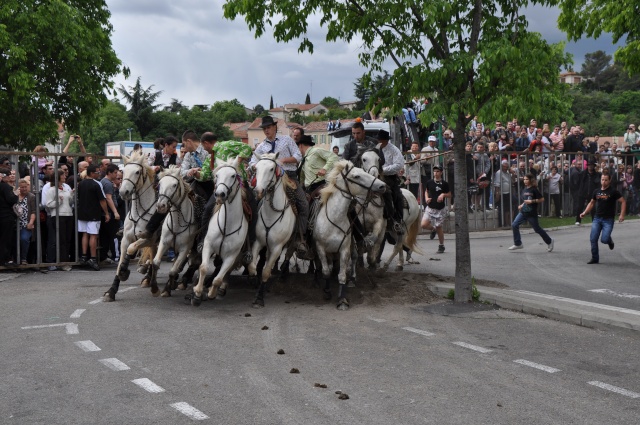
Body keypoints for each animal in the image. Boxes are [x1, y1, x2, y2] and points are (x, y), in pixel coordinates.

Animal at [104, 151, 158, 300]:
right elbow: (123, 257)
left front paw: (124, 271)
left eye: (137, 171)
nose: (123, 192)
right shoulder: (125, 239)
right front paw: (111, 290)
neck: (138, 214)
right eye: (123, 171)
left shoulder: (148, 239)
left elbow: (131, 249)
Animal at [150, 164, 200, 296]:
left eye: (174, 185)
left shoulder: (185, 248)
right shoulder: (164, 243)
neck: (178, 223)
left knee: (195, 263)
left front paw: (168, 288)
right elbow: (156, 263)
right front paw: (154, 288)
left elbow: (173, 270)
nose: (161, 206)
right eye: (160, 184)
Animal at [190, 157, 248, 306]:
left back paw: (221, 288)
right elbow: (204, 267)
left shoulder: (231, 256)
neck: (227, 225)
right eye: (217, 175)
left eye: (233, 175)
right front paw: (197, 293)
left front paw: (212, 292)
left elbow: (219, 278)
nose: (220, 194)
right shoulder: (208, 246)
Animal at [249, 152, 296, 304]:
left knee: (287, 256)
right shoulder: (258, 242)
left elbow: (266, 271)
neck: (271, 214)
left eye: (271, 169)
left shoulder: (277, 247)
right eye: (256, 168)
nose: (258, 191)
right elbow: (252, 266)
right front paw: (254, 280)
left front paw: (259, 298)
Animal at [314, 161, 384, 310]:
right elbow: (326, 271)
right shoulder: (320, 248)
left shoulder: (344, 249)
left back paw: (352, 279)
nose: (382, 185)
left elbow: (341, 275)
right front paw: (327, 292)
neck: (334, 219)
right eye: (357, 176)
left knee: (354, 257)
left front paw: (342, 300)